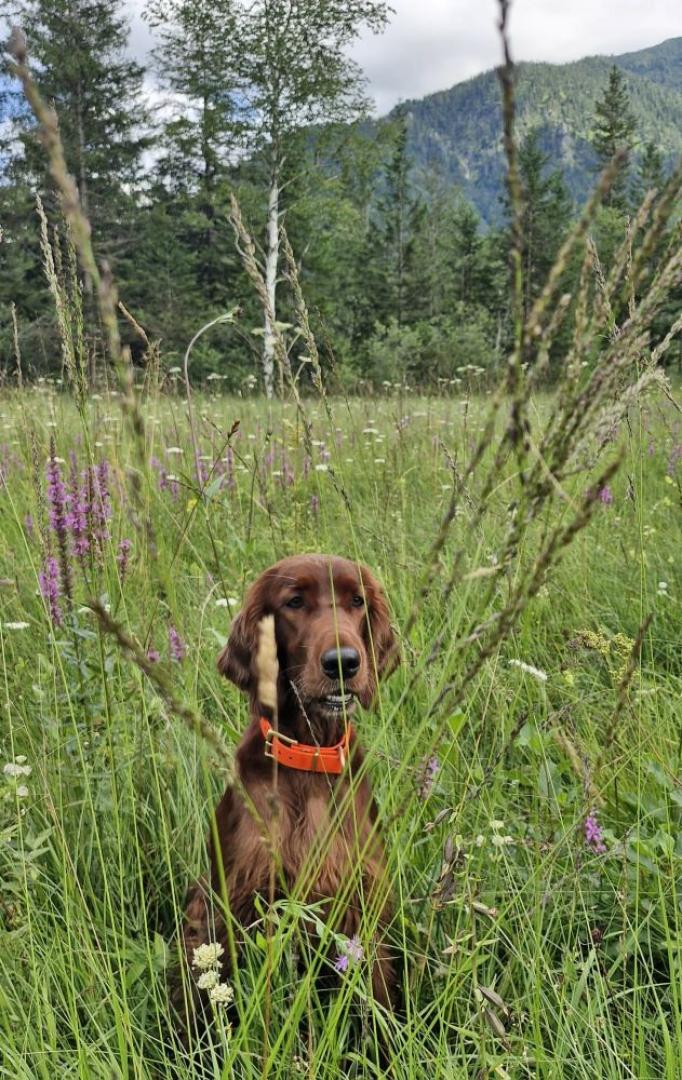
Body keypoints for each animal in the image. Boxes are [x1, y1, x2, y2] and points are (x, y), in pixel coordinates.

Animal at [178, 557, 402, 1028]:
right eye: (294, 602)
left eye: (357, 601)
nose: (343, 663)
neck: (309, 759)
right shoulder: (245, 900)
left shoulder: (361, 896)